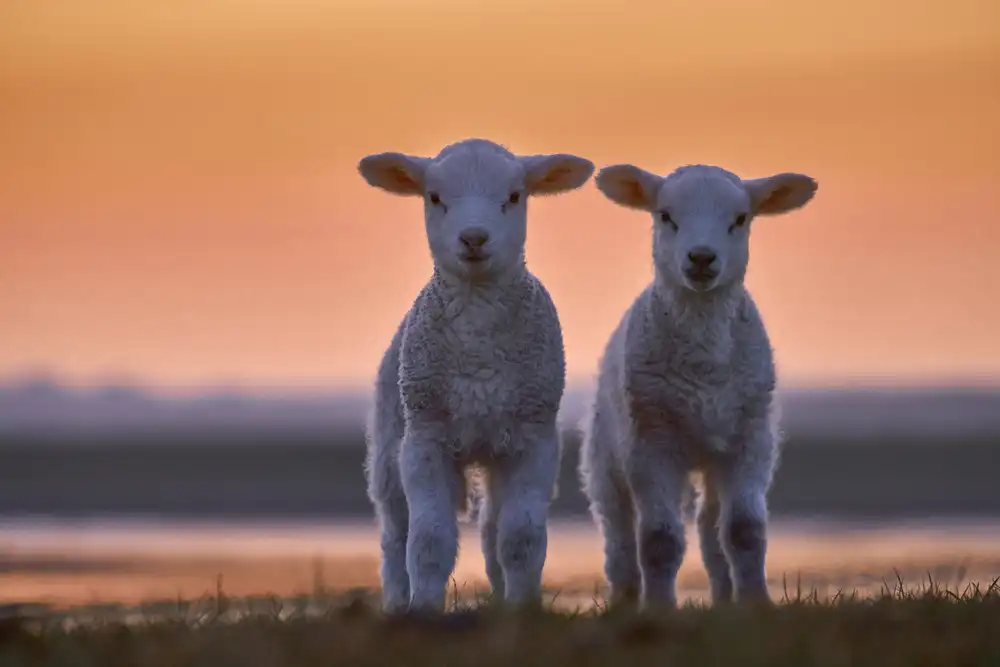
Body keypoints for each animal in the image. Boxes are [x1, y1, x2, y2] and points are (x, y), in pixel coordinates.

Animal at [358, 138, 595, 614]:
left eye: (515, 196)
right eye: (434, 198)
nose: (473, 238)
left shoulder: (534, 440)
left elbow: (520, 538)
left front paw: (523, 608)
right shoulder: (425, 439)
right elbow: (428, 540)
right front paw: (424, 610)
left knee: (490, 530)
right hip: (390, 445)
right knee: (394, 535)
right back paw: (396, 603)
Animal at [578, 162, 817, 610]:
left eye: (740, 219)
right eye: (665, 216)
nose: (702, 257)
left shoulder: (750, 439)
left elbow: (744, 531)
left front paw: (756, 603)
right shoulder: (650, 441)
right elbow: (659, 540)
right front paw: (658, 608)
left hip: (714, 454)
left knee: (710, 527)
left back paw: (724, 599)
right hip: (605, 452)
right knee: (618, 532)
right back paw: (624, 600)